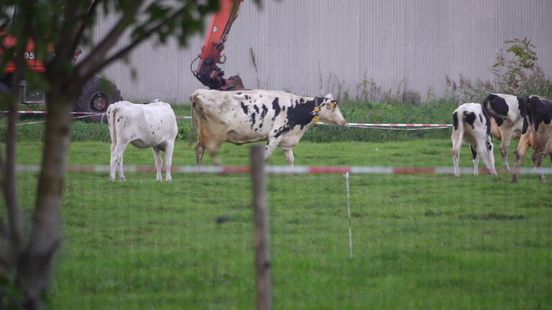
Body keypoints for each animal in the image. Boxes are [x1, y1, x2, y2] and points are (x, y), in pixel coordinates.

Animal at [190, 88, 344, 166]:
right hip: (214, 134)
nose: (343, 122)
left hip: (201, 133)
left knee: (199, 149)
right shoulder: (275, 134)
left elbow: (290, 158)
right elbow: (265, 157)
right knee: (210, 150)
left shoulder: (286, 138)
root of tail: (197, 93)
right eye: (333, 107)